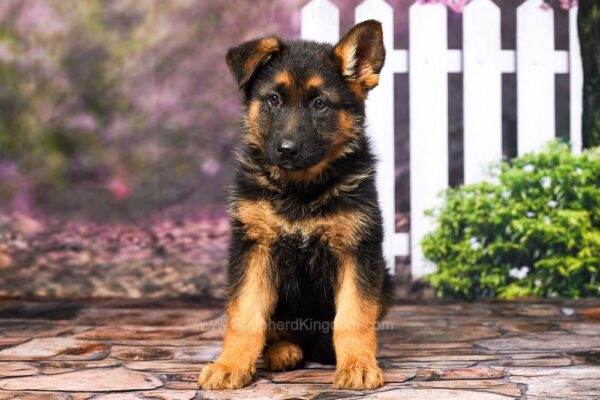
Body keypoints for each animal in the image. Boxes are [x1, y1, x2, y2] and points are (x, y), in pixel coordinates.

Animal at [198, 19, 394, 390]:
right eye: (273, 99)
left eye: (320, 104)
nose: (286, 149)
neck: (300, 189)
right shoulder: (254, 248)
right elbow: (245, 315)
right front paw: (230, 365)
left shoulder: (357, 250)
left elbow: (354, 316)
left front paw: (357, 364)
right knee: (277, 332)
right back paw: (284, 351)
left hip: (386, 281)